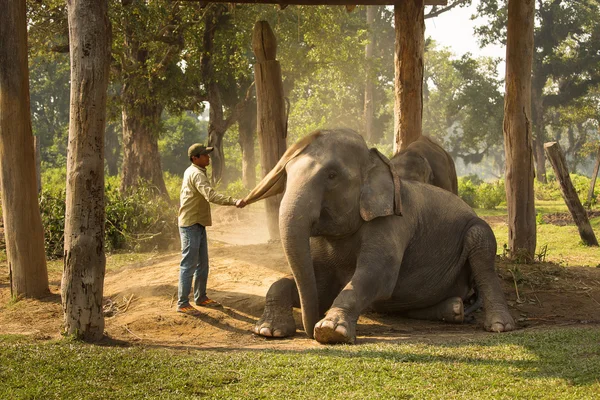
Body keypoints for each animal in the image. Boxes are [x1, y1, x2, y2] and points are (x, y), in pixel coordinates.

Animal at [244, 128, 516, 344]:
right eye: (287, 174)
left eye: (332, 176)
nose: (309, 331)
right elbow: (319, 284)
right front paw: (268, 331)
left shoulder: (393, 224)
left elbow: (376, 275)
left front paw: (330, 331)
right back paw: (454, 309)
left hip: (477, 231)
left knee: (482, 247)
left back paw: (499, 325)